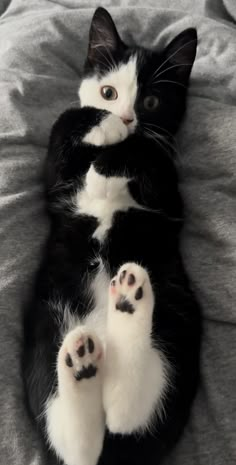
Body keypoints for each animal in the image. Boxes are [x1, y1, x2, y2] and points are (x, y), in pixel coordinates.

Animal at [23, 6, 202, 464]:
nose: (124, 118)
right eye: (108, 91)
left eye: (151, 101)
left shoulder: (170, 193)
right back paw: (83, 364)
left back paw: (128, 300)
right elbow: (63, 124)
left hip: (178, 322)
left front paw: (110, 164)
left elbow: (147, 151)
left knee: (130, 412)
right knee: (79, 443)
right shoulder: (55, 179)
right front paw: (101, 128)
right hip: (44, 327)